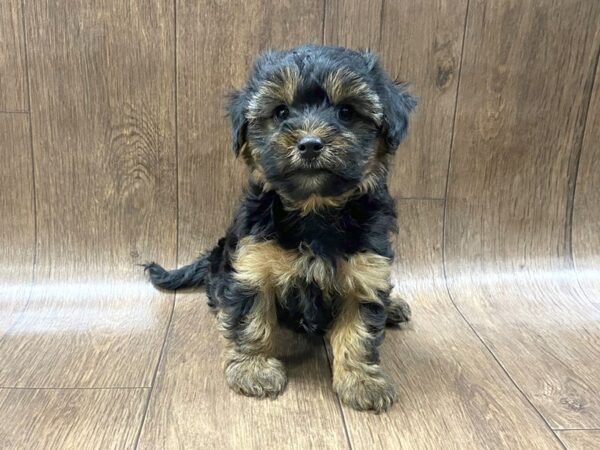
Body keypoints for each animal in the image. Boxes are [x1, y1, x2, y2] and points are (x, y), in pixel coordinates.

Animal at [148, 44, 414, 414]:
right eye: (281, 111)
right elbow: (251, 318)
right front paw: (254, 369)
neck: (314, 210)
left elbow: (359, 330)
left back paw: (392, 307)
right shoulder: (252, 263)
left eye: (347, 112)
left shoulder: (366, 270)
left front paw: (363, 381)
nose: (310, 144)